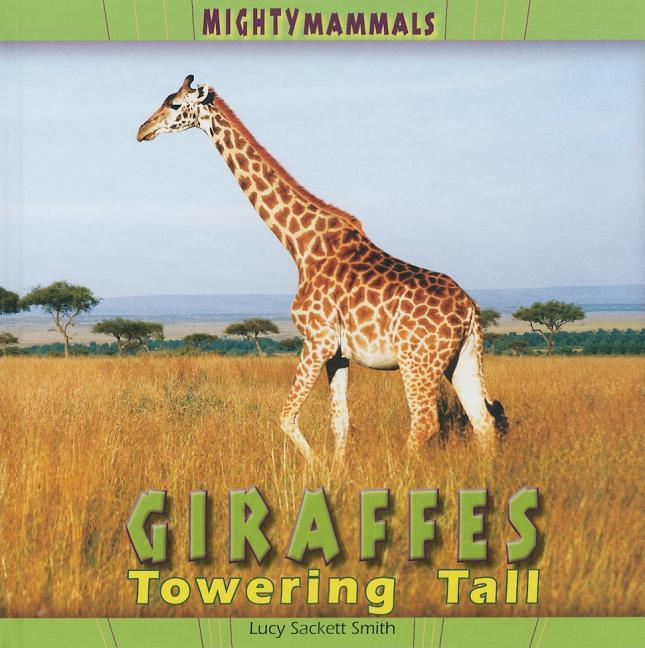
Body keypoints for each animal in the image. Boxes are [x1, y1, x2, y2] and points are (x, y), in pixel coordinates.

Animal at [137, 75, 507, 462]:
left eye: (175, 104)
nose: (142, 130)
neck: (301, 245)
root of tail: (470, 310)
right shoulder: (339, 354)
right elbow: (340, 422)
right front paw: (337, 469)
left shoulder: (318, 340)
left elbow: (286, 416)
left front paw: (316, 467)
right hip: (463, 358)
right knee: (482, 421)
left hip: (417, 361)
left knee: (425, 423)